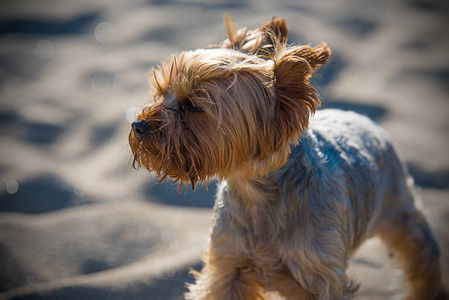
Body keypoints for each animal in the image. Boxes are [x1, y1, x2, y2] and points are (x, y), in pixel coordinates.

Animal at [128, 17, 442, 300]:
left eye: (192, 105)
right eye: (161, 93)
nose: (138, 125)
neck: (255, 194)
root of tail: (358, 116)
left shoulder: (323, 278)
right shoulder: (227, 268)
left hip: (399, 204)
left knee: (419, 254)